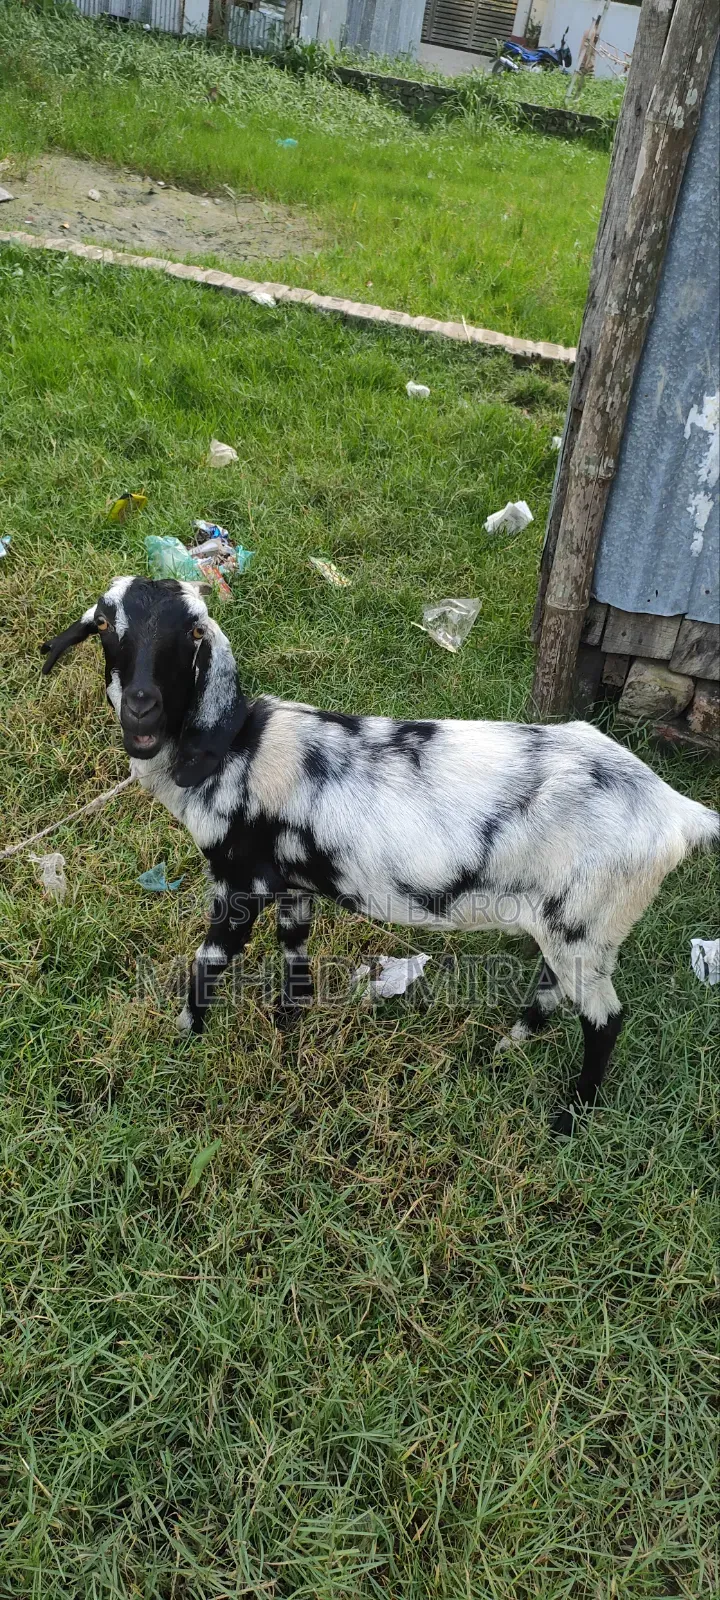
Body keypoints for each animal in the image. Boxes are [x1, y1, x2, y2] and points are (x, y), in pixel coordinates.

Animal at [42, 577, 718, 1134]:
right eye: (105, 626)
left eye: (192, 633)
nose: (142, 708)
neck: (235, 750)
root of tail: (677, 810)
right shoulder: (292, 884)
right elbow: (294, 952)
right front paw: (288, 1024)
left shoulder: (237, 882)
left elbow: (207, 964)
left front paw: (185, 1040)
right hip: (569, 921)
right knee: (557, 987)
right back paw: (513, 1044)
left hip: (588, 922)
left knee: (606, 1019)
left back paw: (570, 1116)